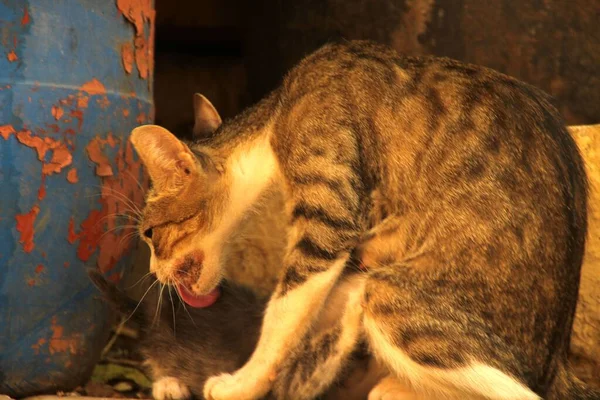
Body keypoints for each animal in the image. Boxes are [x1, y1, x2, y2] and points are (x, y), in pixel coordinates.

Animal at [127, 40, 596, 400]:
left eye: (149, 234)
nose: (151, 270)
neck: (276, 113)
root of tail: (555, 363)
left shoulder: (328, 218)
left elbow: (283, 312)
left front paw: (241, 384)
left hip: (391, 295)